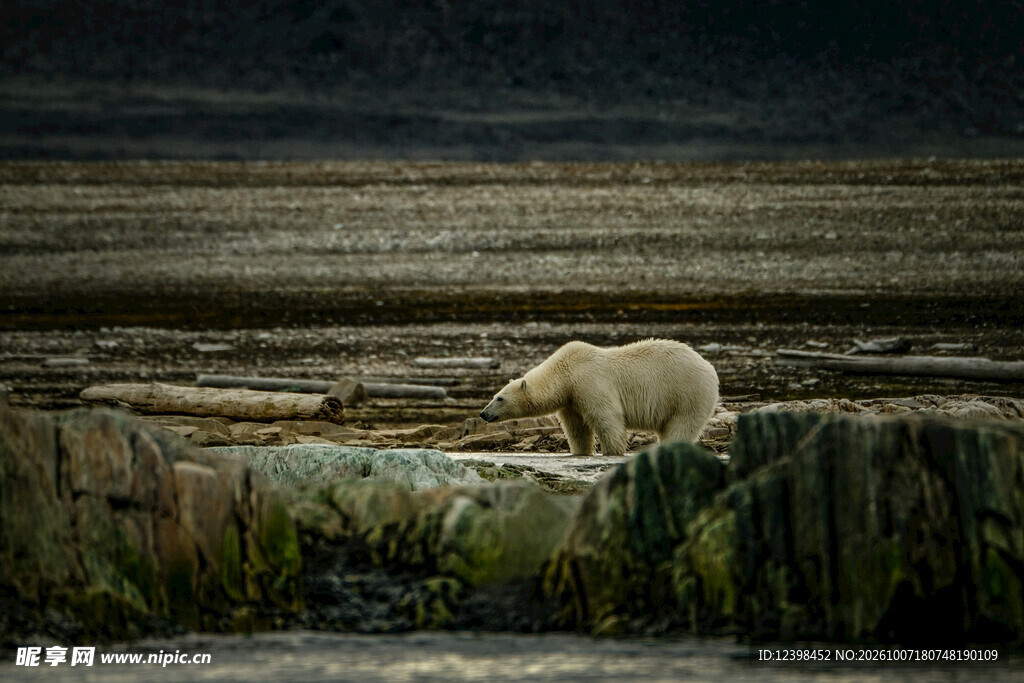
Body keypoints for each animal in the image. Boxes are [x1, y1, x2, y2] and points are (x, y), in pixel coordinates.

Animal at [479, 338, 719, 457]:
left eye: (499, 398)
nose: (483, 414)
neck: (565, 373)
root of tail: (709, 366)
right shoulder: (571, 400)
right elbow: (577, 429)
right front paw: (580, 452)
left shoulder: (589, 382)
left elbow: (607, 418)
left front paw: (613, 452)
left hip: (687, 393)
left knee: (681, 426)